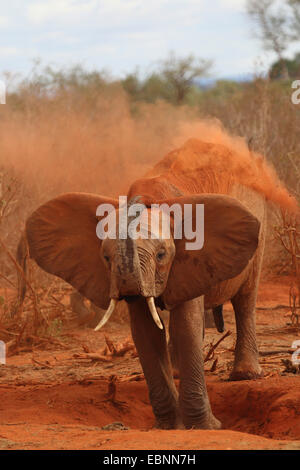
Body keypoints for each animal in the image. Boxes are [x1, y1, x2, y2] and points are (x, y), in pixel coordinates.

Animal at [14, 139, 296, 430]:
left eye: (161, 255)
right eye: (106, 258)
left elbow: (186, 325)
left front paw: (207, 427)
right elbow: (146, 332)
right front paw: (171, 426)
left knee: (245, 298)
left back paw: (245, 375)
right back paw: (177, 371)